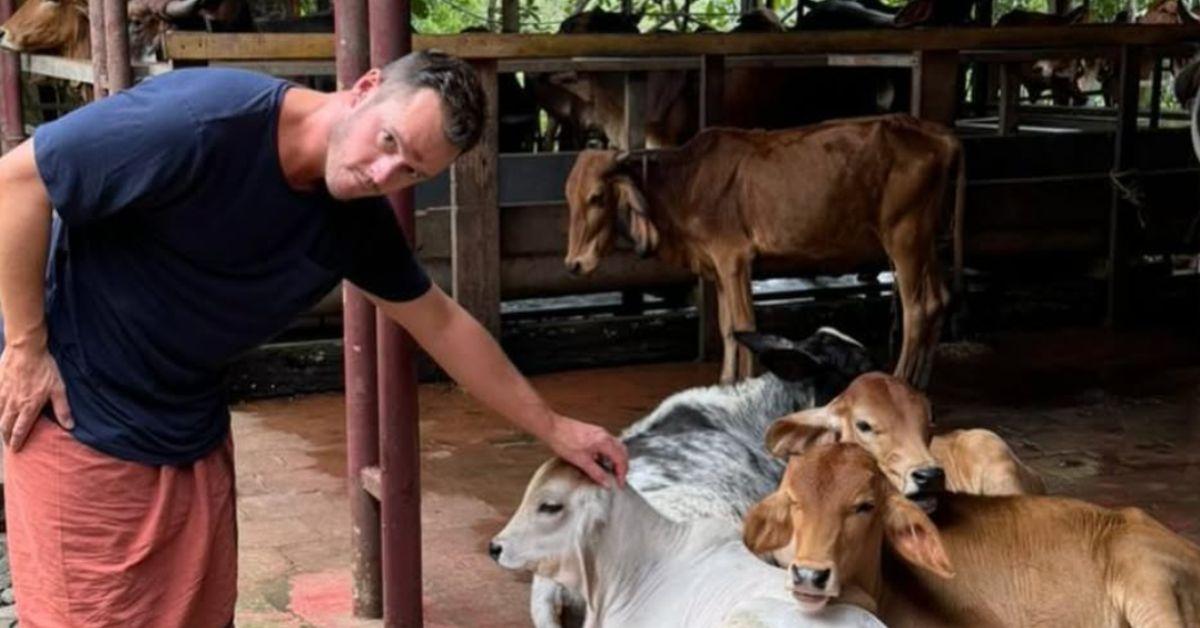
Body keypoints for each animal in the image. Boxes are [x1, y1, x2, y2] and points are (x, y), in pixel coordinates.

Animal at [561, 114, 964, 389]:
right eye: (569, 197)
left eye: (596, 197)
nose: (573, 264)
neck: (685, 184)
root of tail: (941, 137)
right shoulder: (717, 268)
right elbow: (727, 329)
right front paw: (726, 381)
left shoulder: (734, 260)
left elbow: (744, 326)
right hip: (925, 243)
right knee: (941, 299)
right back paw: (919, 382)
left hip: (905, 239)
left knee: (917, 309)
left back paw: (901, 379)